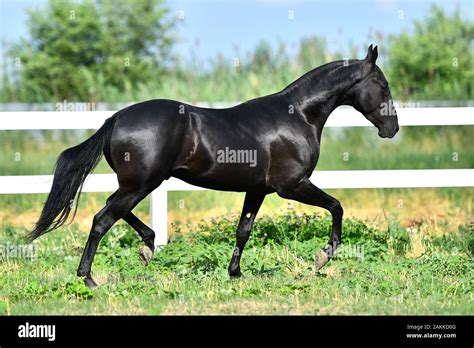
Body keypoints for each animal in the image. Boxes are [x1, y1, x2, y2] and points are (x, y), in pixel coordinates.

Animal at [31, 44, 398, 286]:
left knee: (114, 211)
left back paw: (147, 248)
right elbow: (337, 206)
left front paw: (235, 273)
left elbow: (243, 229)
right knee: (102, 219)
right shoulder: (292, 186)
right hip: (141, 184)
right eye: (382, 85)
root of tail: (114, 120)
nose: (392, 128)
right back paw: (89, 279)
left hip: (138, 184)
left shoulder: (258, 190)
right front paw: (323, 256)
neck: (299, 116)